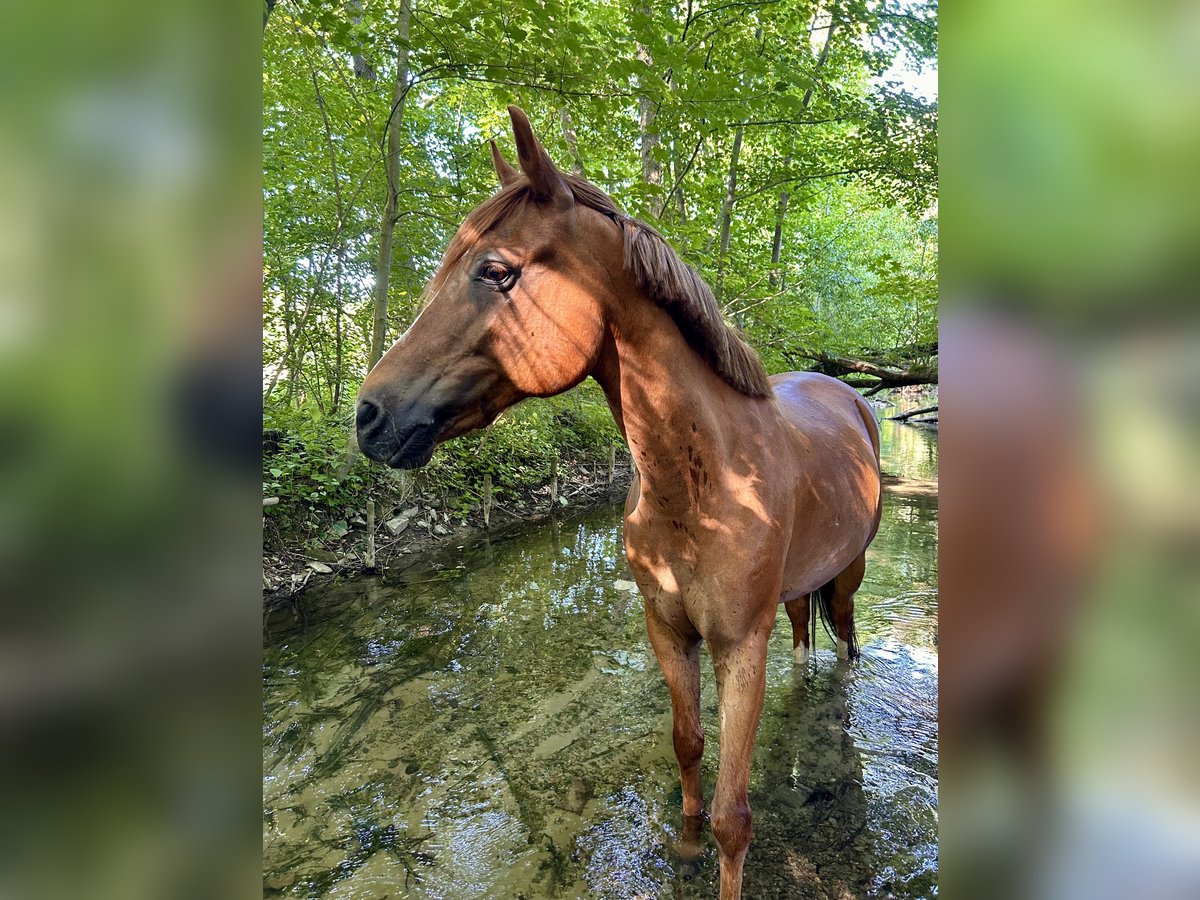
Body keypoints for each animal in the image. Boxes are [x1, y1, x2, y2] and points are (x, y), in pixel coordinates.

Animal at [355, 106, 882, 899]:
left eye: (496, 270)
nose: (369, 416)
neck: (703, 486)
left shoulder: (739, 648)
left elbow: (735, 816)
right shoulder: (667, 631)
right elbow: (688, 746)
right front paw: (686, 848)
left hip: (847, 575)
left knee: (845, 642)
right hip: (798, 590)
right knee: (802, 639)